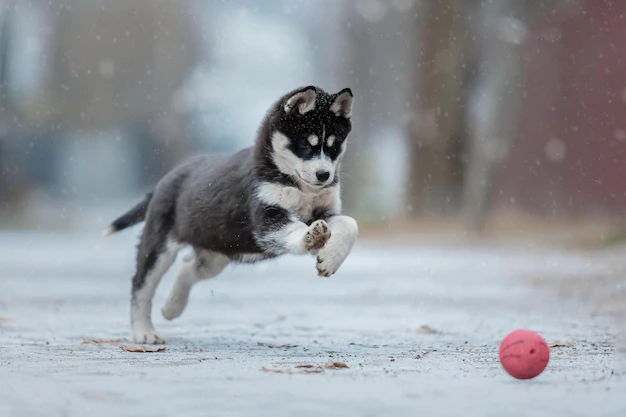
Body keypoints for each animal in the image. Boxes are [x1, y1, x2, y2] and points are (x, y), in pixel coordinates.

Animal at [105, 85, 358, 344]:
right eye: (305, 144)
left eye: (334, 145)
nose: (324, 175)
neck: (299, 186)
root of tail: (164, 180)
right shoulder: (267, 217)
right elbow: (295, 229)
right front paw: (311, 237)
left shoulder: (324, 211)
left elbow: (350, 223)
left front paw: (330, 258)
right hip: (159, 244)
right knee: (141, 285)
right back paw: (144, 332)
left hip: (217, 252)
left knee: (188, 267)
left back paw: (171, 307)